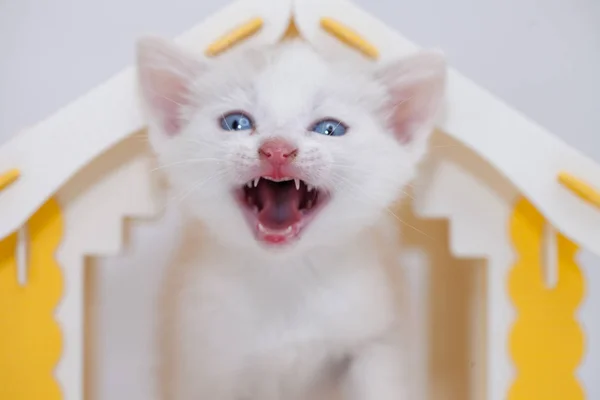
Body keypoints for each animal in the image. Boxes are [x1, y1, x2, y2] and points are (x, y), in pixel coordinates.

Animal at [136, 37, 446, 400]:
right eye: (236, 123)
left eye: (329, 128)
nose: (277, 148)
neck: (284, 275)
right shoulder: (202, 357)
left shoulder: (380, 332)